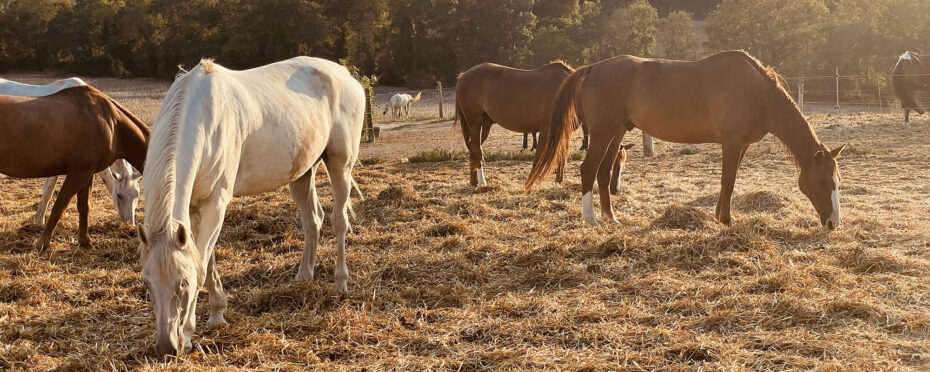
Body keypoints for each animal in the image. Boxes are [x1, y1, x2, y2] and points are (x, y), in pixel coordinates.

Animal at [0, 86, 149, 250]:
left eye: (137, 195)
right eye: (119, 195)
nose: (130, 225)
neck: (112, 124)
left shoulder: (88, 173)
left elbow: (84, 205)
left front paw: (84, 240)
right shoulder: (78, 173)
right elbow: (60, 206)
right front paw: (43, 242)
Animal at [140, 56, 364, 356]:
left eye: (183, 282)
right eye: (147, 282)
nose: (166, 346)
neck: (201, 119)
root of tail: (346, 75)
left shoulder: (216, 203)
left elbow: (201, 264)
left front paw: (188, 332)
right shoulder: (196, 207)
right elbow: (205, 258)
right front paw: (217, 314)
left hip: (341, 164)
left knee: (339, 221)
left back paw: (340, 282)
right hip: (302, 173)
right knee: (312, 220)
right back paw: (304, 276)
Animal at [524, 49, 844, 230]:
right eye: (824, 182)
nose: (833, 223)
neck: (759, 93)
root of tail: (592, 68)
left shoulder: (740, 145)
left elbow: (728, 181)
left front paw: (718, 215)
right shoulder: (732, 142)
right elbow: (728, 180)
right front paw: (727, 221)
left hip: (616, 133)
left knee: (603, 172)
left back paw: (611, 218)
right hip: (603, 133)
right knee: (588, 170)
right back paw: (591, 220)